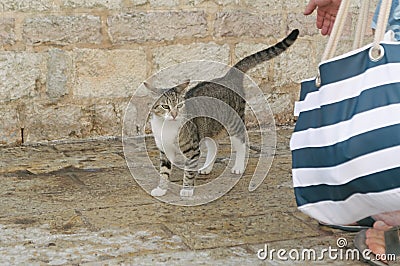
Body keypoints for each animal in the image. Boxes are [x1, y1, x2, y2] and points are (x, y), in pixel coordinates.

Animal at [145, 29, 298, 196]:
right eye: (165, 107)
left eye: (179, 105)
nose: (174, 114)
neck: (166, 127)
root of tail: (229, 76)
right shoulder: (164, 150)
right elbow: (164, 171)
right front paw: (161, 189)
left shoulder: (192, 150)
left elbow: (189, 171)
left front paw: (186, 190)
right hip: (209, 125)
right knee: (214, 145)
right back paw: (207, 167)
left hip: (234, 122)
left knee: (242, 141)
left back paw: (238, 167)